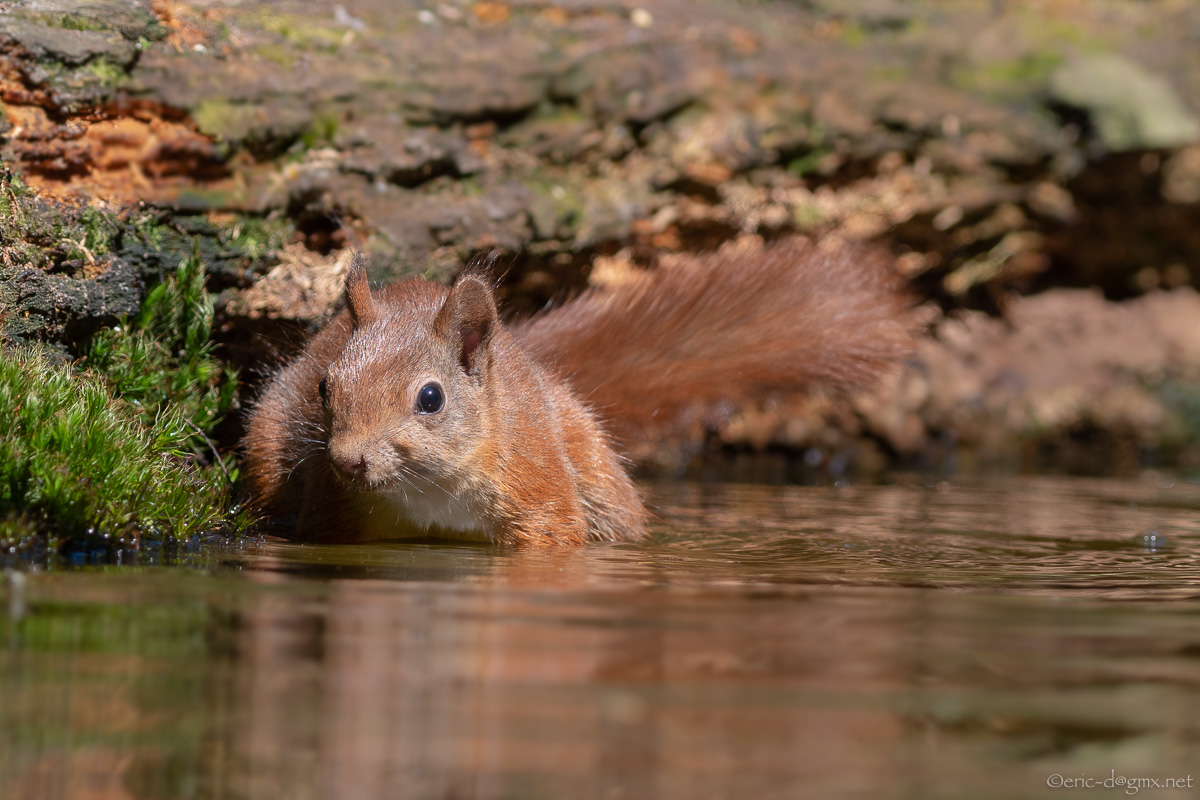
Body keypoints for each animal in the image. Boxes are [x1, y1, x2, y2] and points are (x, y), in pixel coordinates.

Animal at [248, 237, 912, 546]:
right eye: (326, 387)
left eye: (430, 399)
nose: (347, 460)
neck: (427, 489)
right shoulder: (331, 508)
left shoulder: (537, 481)